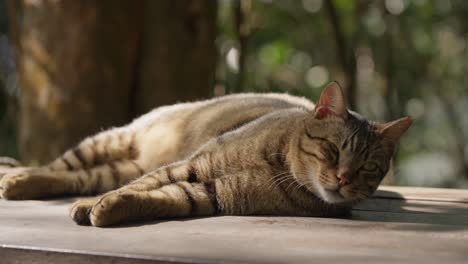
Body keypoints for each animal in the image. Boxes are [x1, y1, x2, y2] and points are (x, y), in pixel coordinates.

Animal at [0, 82, 410, 227]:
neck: (278, 164)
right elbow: (145, 185)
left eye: (369, 167)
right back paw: (14, 176)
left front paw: (109, 208)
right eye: (332, 149)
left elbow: (158, 196)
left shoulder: (214, 192)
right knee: (58, 165)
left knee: (73, 177)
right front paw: (93, 205)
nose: (343, 179)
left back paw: (16, 181)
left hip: (117, 165)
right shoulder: (194, 164)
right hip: (111, 139)